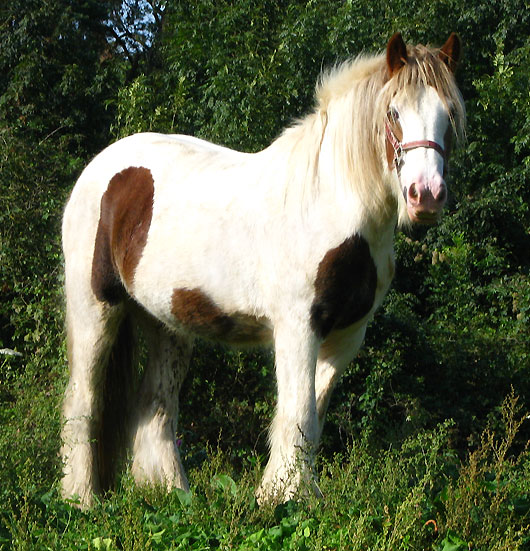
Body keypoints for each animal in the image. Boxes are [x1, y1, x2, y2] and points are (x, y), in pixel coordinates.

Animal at [58, 33, 462, 508]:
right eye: (394, 113)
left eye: (448, 114)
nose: (426, 196)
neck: (331, 203)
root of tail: (102, 169)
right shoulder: (298, 326)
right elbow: (297, 412)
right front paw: (286, 500)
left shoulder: (346, 336)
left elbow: (312, 415)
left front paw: (281, 494)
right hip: (95, 307)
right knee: (83, 401)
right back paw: (80, 500)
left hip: (167, 321)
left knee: (155, 404)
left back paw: (175, 497)